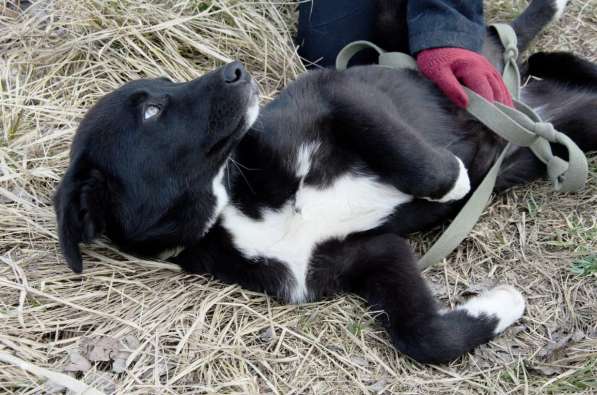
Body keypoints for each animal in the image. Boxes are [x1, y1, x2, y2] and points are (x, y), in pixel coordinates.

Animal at [54, 0, 592, 366]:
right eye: (151, 111)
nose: (236, 70)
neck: (233, 205)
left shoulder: (335, 92)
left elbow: (408, 152)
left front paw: (453, 182)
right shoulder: (374, 255)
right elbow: (424, 337)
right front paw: (503, 303)